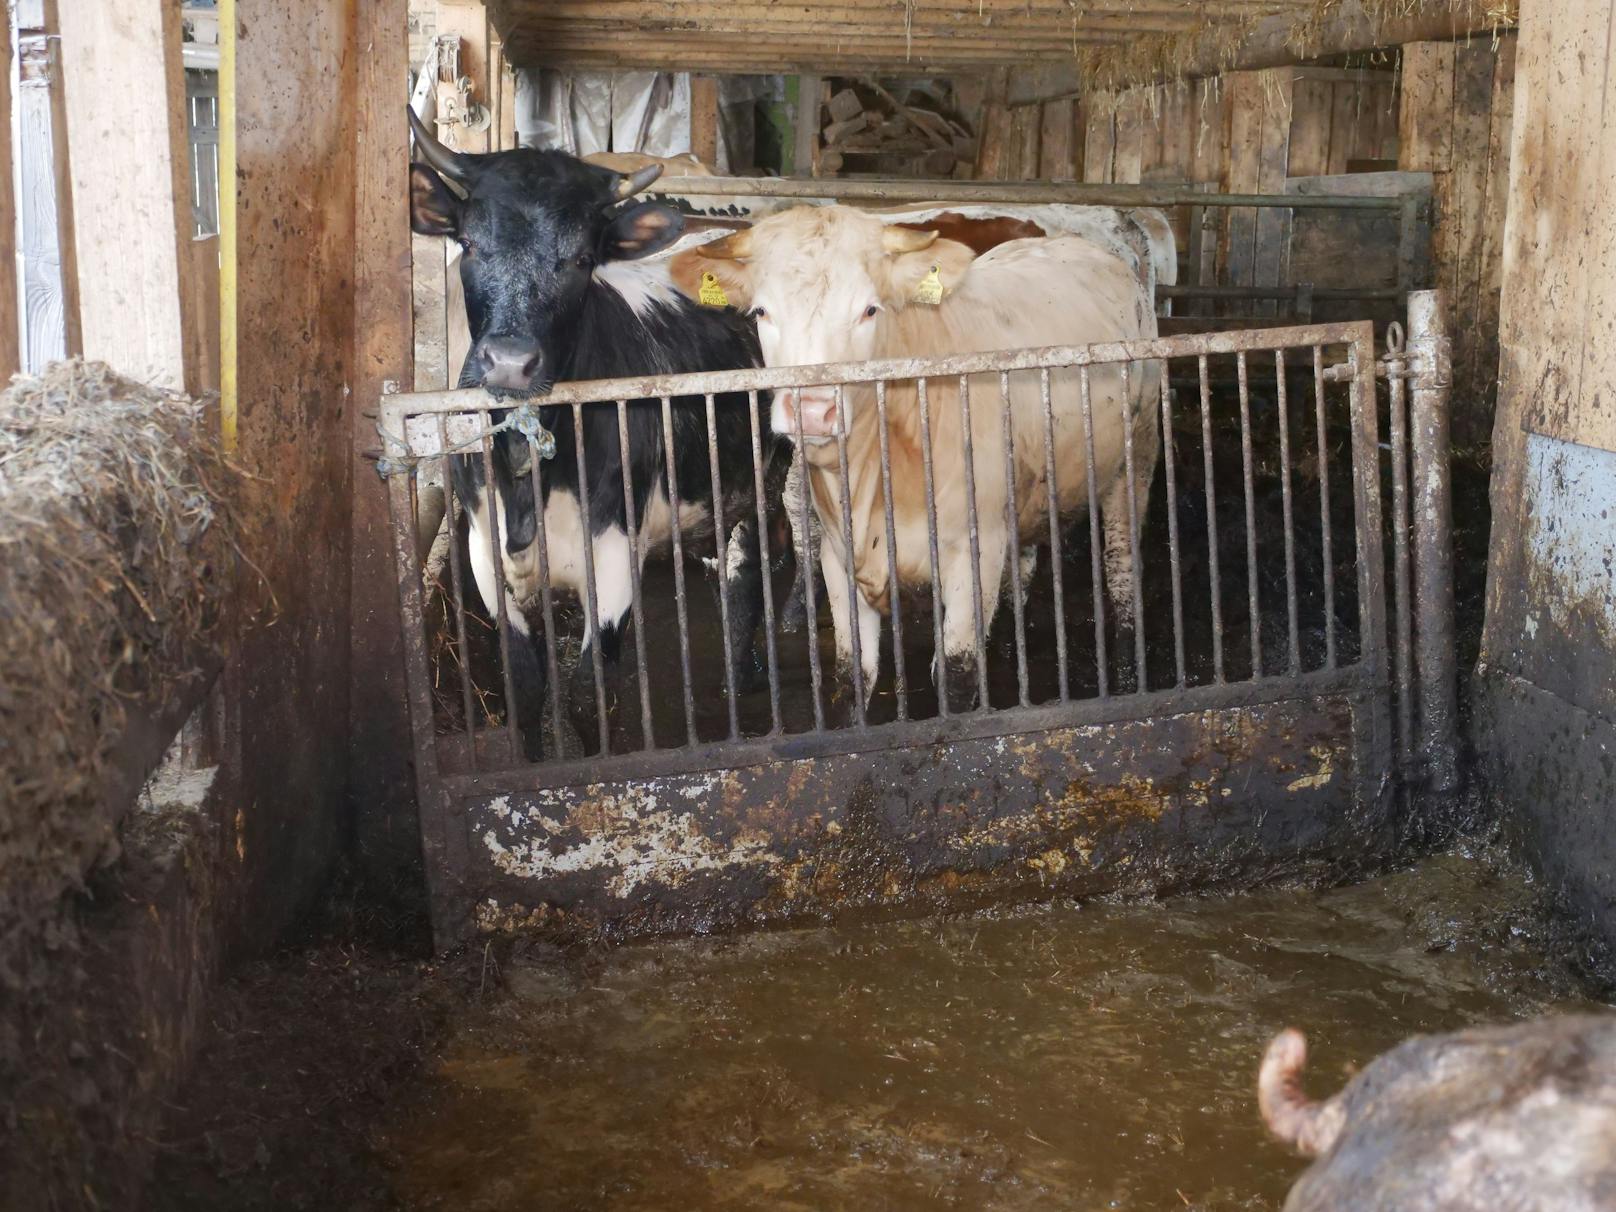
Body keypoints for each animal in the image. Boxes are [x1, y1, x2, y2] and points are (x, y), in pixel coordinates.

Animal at [413, 111, 772, 759]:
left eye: (582, 258)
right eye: (469, 244)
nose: (508, 363)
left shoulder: (613, 553)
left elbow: (589, 694)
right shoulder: (484, 552)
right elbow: (525, 686)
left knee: (755, 567)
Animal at [675, 204, 1169, 707]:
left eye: (870, 309)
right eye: (761, 311)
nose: (812, 409)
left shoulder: (975, 553)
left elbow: (957, 673)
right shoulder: (838, 559)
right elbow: (852, 676)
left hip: (1137, 456)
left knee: (1122, 569)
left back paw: (1127, 671)